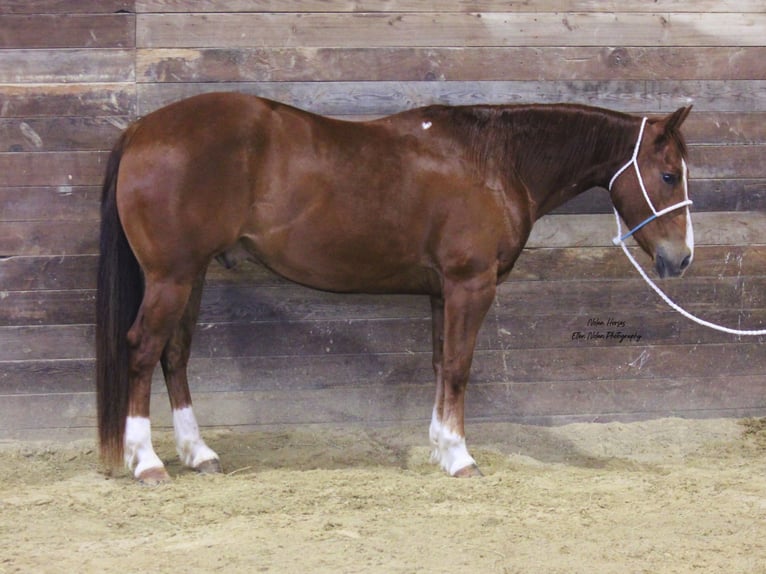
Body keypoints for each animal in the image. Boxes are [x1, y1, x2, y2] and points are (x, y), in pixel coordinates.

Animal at [96, 92, 696, 484]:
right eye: (669, 175)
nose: (681, 258)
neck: (494, 161)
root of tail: (142, 129)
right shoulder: (470, 285)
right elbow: (459, 367)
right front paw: (460, 457)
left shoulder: (441, 292)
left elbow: (440, 364)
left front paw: (439, 449)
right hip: (171, 277)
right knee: (144, 351)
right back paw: (148, 462)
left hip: (190, 275)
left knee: (175, 355)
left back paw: (199, 454)